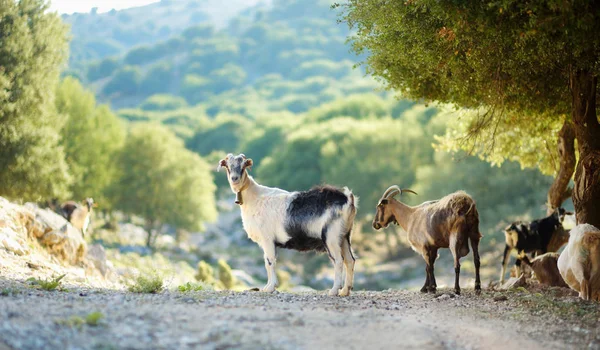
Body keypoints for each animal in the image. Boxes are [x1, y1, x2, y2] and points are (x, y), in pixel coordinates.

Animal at [216, 153, 356, 296]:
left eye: (243, 166)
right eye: (228, 166)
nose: (234, 178)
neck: (254, 197)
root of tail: (347, 198)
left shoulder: (267, 238)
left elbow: (270, 261)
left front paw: (270, 288)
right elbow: (267, 262)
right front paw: (267, 287)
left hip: (331, 237)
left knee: (338, 261)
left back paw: (334, 290)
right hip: (344, 235)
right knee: (350, 260)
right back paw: (345, 290)